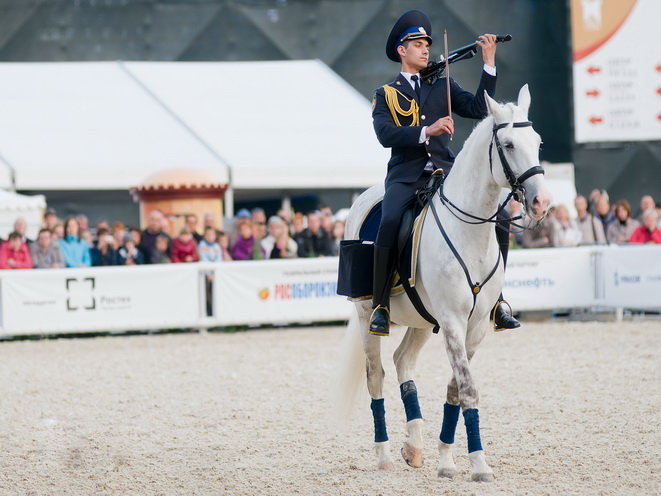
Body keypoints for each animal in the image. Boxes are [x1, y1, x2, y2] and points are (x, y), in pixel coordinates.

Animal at [336, 84, 552, 480]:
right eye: (509, 144)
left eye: (538, 142)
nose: (541, 201)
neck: (470, 229)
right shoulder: (452, 321)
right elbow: (467, 388)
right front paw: (479, 464)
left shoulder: (475, 325)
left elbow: (455, 389)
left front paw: (448, 461)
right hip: (365, 315)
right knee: (376, 374)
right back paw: (384, 455)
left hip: (422, 321)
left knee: (404, 361)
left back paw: (414, 446)